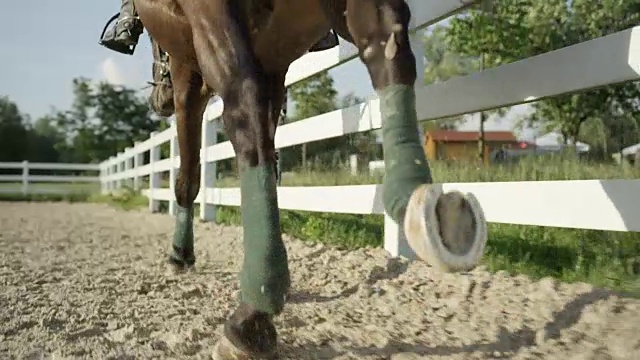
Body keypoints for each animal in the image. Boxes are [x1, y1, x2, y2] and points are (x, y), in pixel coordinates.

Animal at [134, 0, 484, 358]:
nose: (159, 97)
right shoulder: (274, 60)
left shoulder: (188, 67)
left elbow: (189, 176)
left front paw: (180, 255)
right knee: (385, 41)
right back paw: (432, 211)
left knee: (244, 100)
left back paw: (255, 309)